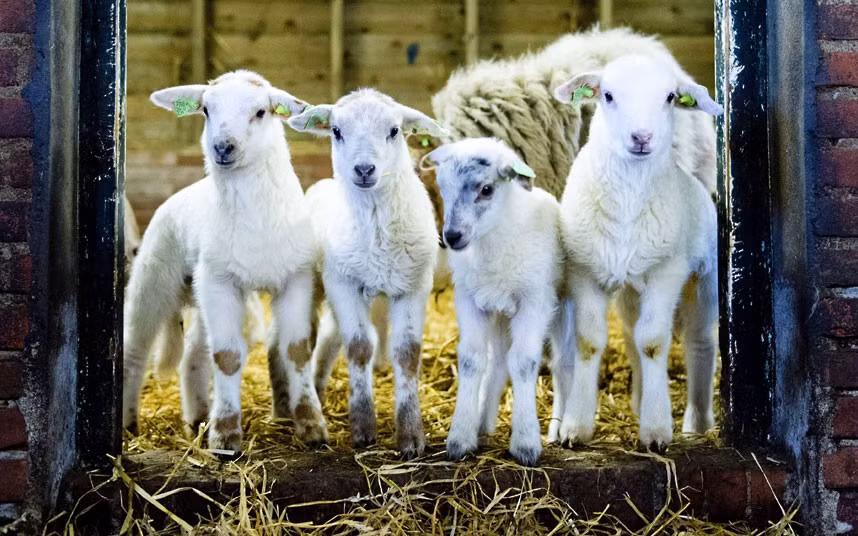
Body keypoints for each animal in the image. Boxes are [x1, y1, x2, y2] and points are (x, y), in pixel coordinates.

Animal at [124, 70, 324, 451]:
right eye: (205, 110)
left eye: (261, 112)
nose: (222, 147)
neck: (255, 217)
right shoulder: (221, 282)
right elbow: (228, 357)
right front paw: (226, 435)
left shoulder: (295, 279)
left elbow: (297, 351)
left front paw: (312, 425)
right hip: (155, 278)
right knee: (135, 350)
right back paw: (128, 424)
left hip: (200, 288)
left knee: (193, 354)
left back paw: (198, 417)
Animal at [287, 89, 446, 458]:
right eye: (336, 131)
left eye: (394, 130)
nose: (363, 169)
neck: (376, 225)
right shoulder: (343, 283)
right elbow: (358, 347)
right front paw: (362, 428)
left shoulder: (413, 285)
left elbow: (407, 353)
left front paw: (411, 436)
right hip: (323, 285)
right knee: (323, 337)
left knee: (331, 337)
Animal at [426, 137, 569, 466]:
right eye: (442, 186)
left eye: (487, 189)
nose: (451, 236)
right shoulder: (469, 300)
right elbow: (471, 360)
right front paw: (460, 438)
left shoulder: (535, 301)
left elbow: (525, 362)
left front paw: (526, 443)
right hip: (501, 313)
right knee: (498, 362)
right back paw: (482, 423)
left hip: (560, 306)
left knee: (561, 364)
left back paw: (560, 428)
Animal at [552, 55, 723, 451]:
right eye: (608, 95)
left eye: (670, 97)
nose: (642, 137)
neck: (627, 201)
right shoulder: (585, 270)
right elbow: (589, 342)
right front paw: (575, 427)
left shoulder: (667, 272)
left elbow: (654, 343)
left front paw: (656, 430)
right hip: (630, 289)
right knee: (631, 337)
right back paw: (642, 398)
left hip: (703, 278)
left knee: (699, 341)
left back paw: (698, 422)